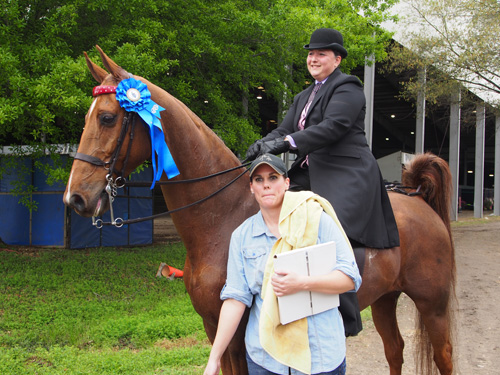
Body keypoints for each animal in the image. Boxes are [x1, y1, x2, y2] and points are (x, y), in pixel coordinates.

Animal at [64, 47, 456, 375]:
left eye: (108, 118)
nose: (75, 198)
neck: (220, 218)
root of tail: (417, 199)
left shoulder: (238, 334)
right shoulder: (216, 327)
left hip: (432, 304)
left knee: (443, 357)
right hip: (386, 299)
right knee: (395, 351)